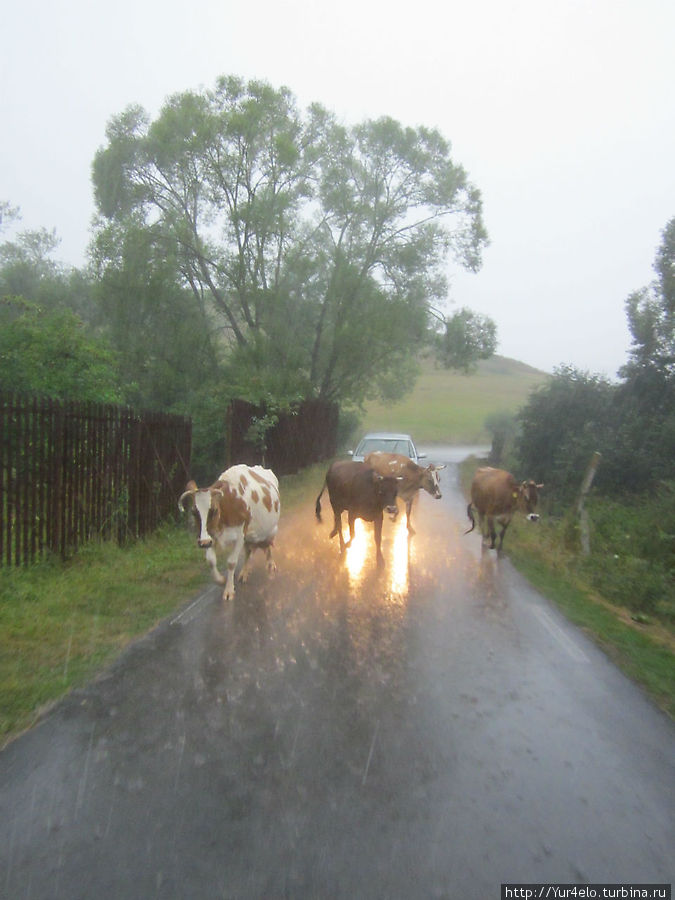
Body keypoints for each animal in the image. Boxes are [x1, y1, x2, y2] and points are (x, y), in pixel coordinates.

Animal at [178, 464, 282, 596]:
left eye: (215, 510)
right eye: (193, 512)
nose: (203, 543)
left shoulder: (240, 535)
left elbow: (231, 562)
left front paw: (229, 590)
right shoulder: (211, 535)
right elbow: (211, 561)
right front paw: (221, 580)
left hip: (271, 530)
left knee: (267, 544)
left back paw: (270, 564)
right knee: (249, 550)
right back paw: (244, 572)